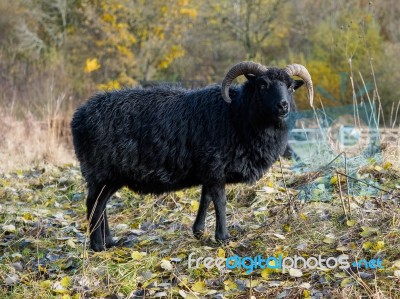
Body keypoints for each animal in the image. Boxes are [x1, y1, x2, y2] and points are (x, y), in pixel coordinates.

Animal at [72, 62, 316, 252]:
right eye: (263, 85)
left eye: (290, 87)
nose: (283, 106)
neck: (235, 115)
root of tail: (78, 117)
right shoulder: (216, 168)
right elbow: (220, 201)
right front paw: (223, 238)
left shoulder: (209, 170)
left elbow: (205, 198)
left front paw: (199, 232)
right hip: (103, 170)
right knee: (94, 204)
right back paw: (98, 246)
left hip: (110, 176)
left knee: (101, 204)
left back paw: (110, 241)